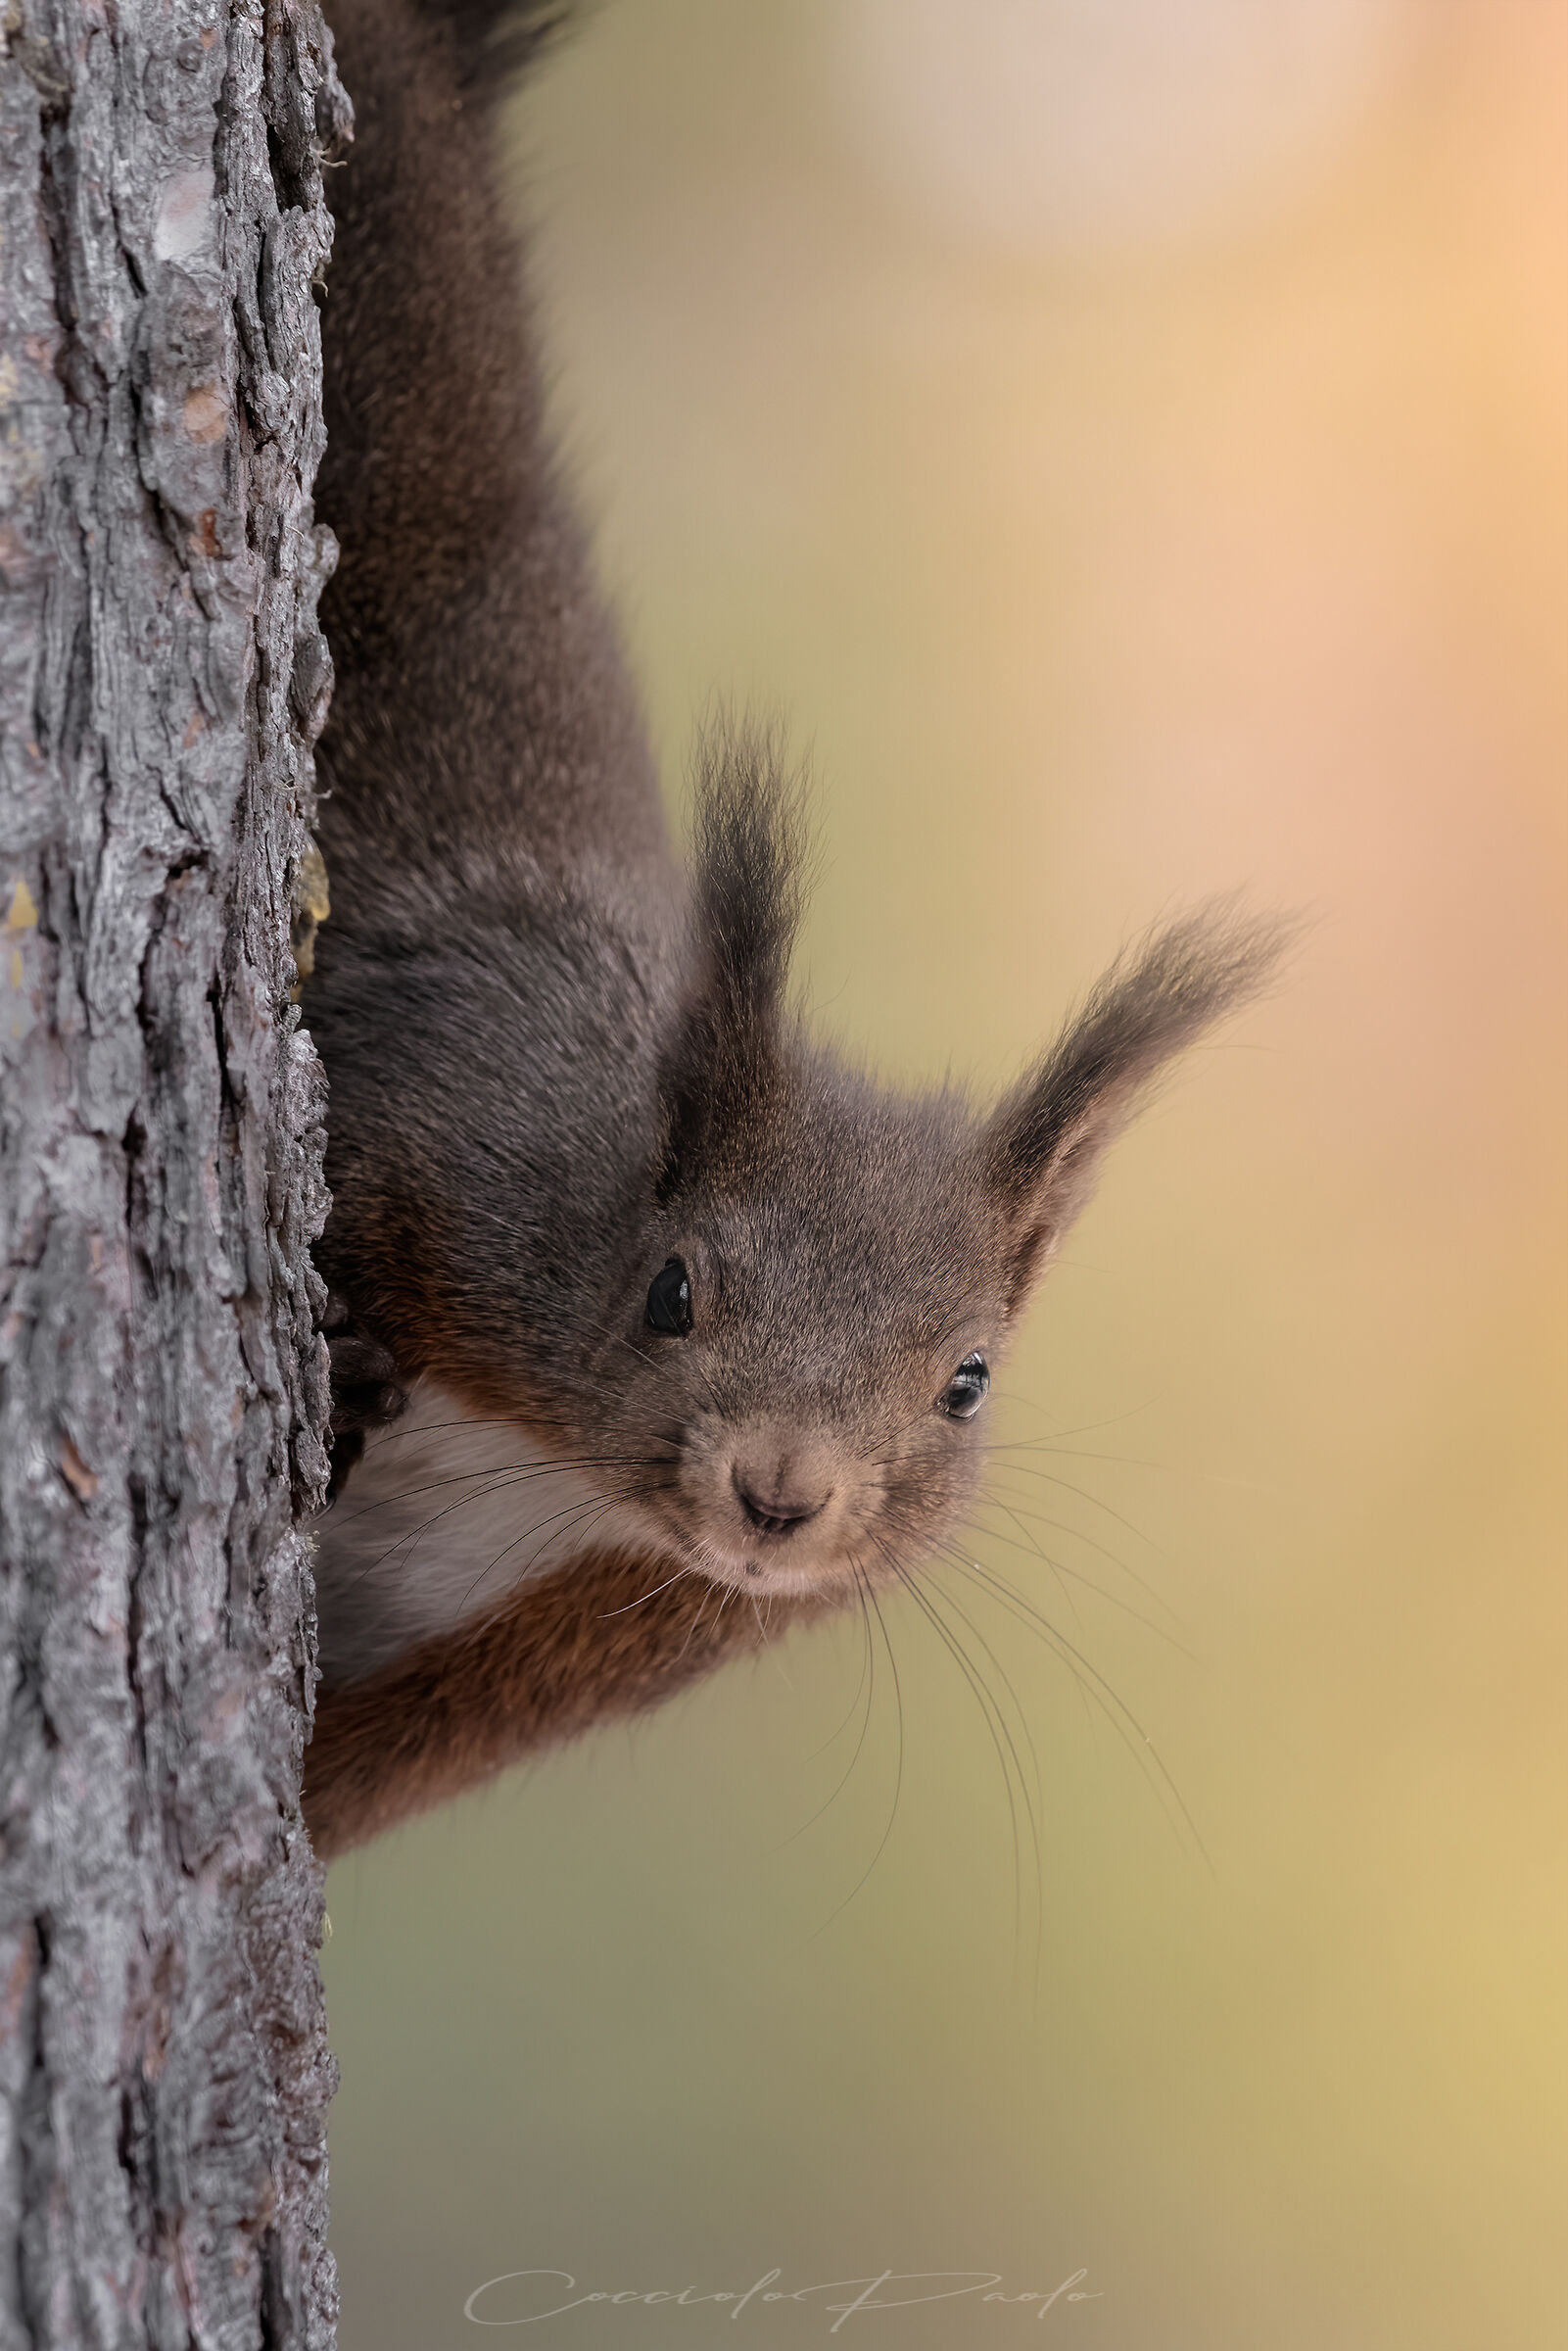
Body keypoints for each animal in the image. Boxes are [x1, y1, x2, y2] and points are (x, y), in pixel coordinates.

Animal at [300, 0, 1289, 1858]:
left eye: (968, 1381)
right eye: (673, 1285)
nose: (780, 1499)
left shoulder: (585, 1631)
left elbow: (355, 1770)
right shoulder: (444, 1116)